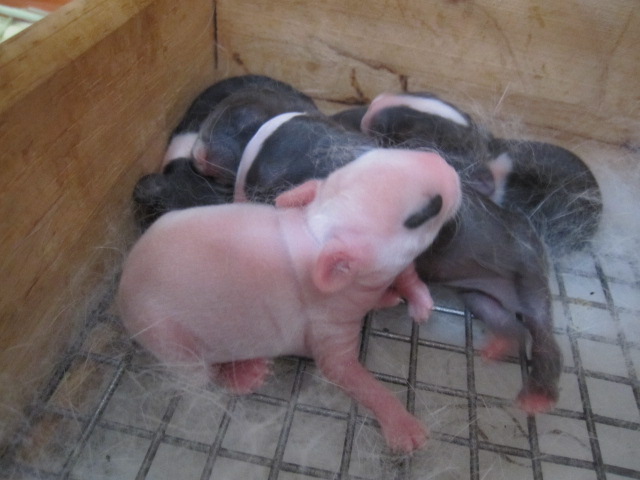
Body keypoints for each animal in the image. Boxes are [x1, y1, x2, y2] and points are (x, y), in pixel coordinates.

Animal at [117, 149, 462, 453]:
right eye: (424, 213)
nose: (447, 164)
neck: (315, 231)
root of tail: (125, 283)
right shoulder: (324, 321)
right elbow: (343, 371)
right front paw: (402, 423)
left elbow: (403, 273)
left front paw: (410, 295)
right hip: (161, 332)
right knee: (196, 376)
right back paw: (239, 375)